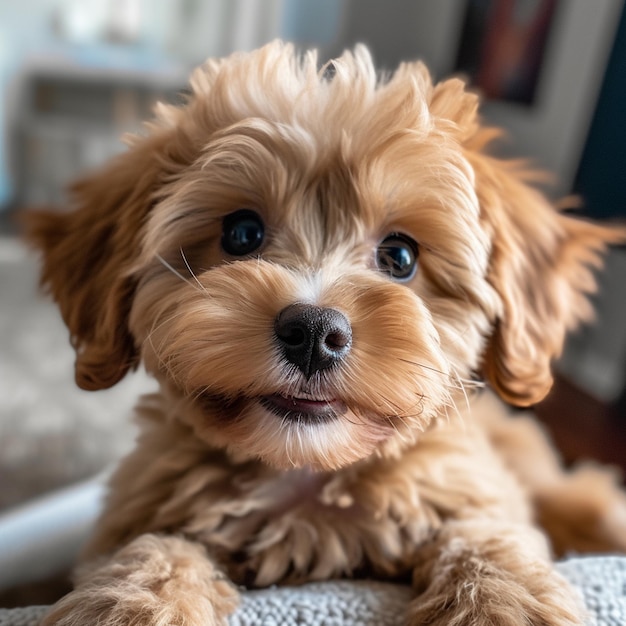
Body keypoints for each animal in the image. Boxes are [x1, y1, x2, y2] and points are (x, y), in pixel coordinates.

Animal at [26, 41, 624, 620]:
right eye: (242, 233)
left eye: (400, 257)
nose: (313, 331)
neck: (303, 469)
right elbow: (159, 547)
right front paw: (138, 601)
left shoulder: (468, 486)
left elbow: (486, 537)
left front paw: (502, 602)